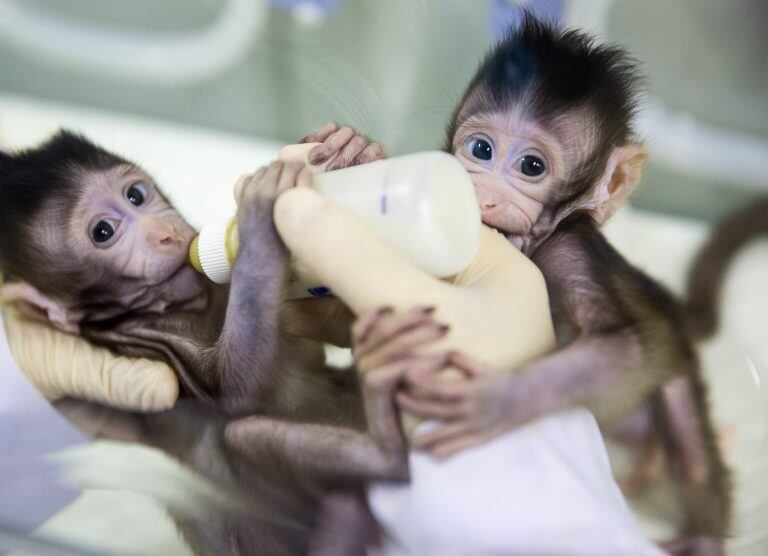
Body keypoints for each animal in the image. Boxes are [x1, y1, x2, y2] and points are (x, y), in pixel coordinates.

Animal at [0, 131, 444, 556]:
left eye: (136, 195)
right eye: (103, 233)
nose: (164, 235)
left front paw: (350, 148)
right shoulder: (136, 344)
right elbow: (237, 391)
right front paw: (260, 220)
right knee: (246, 436)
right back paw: (387, 446)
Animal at [306, 13, 732, 556]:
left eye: (532, 166)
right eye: (480, 150)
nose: (481, 196)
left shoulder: (569, 249)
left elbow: (623, 348)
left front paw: (493, 401)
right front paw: (354, 150)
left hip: (674, 368)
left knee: (690, 449)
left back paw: (701, 532)